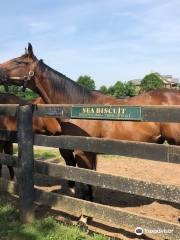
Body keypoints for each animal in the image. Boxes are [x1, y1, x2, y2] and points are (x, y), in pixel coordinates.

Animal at [0, 43, 180, 201]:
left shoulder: (82, 152)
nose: (0, 70)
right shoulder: (89, 152)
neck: (77, 104)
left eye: (19, 62)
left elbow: (85, 181)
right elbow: (90, 180)